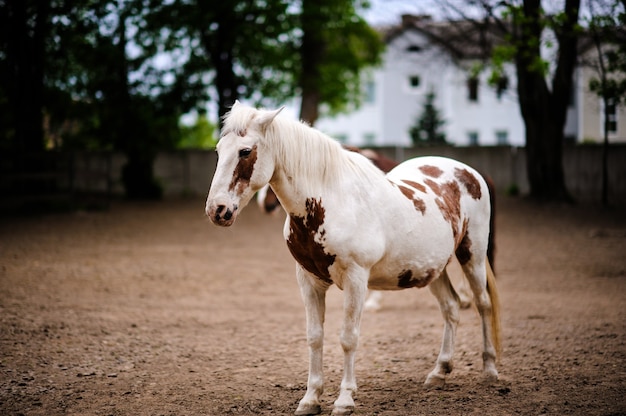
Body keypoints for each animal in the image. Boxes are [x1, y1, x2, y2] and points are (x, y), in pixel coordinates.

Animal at [205, 101, 498, 416]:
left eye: (245, 151)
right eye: (219, 150)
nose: (217, 210)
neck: (330, 203)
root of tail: (470, 173)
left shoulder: (357, 280)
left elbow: (348, 338)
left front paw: (344, 399)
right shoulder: (308, 281)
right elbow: (314, 337)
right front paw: (310, 399)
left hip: (472, 256)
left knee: (482, 304)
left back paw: (490, 370)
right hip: (432, 269)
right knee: (451, 307)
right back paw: (439, 372)